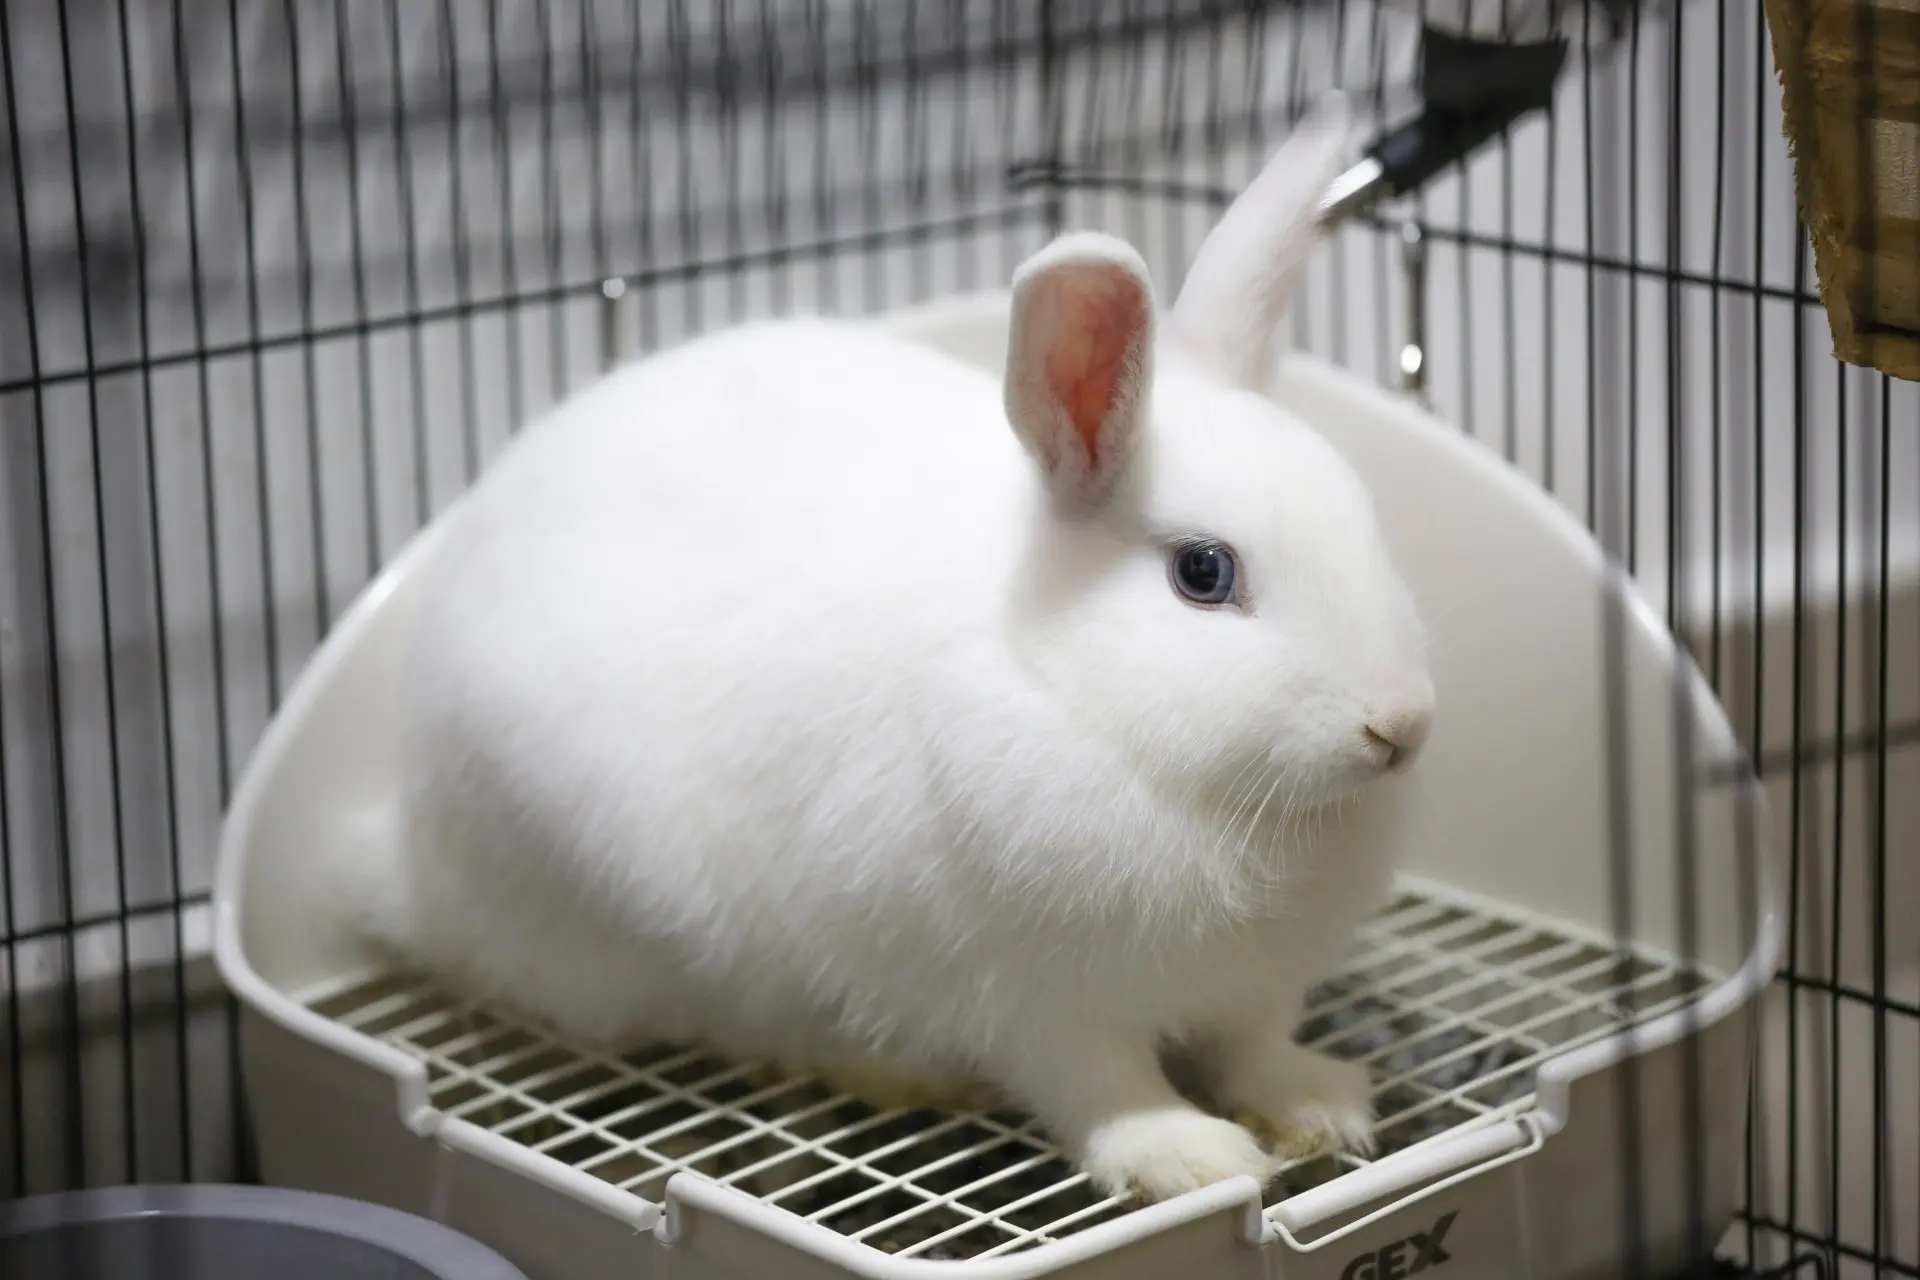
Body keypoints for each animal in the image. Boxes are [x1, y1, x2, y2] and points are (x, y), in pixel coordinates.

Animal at [349, 97, 1436, 1205]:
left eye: (1361, 515)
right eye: (1204, 573)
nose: (1401, 724)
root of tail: (409, 865)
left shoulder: (1257, 986)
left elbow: (1254, 1048)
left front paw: (1319, 1107)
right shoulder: (1029, 998)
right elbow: (1103, 1088)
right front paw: (1185, 1156)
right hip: (631, 911)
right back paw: (884, 1070)